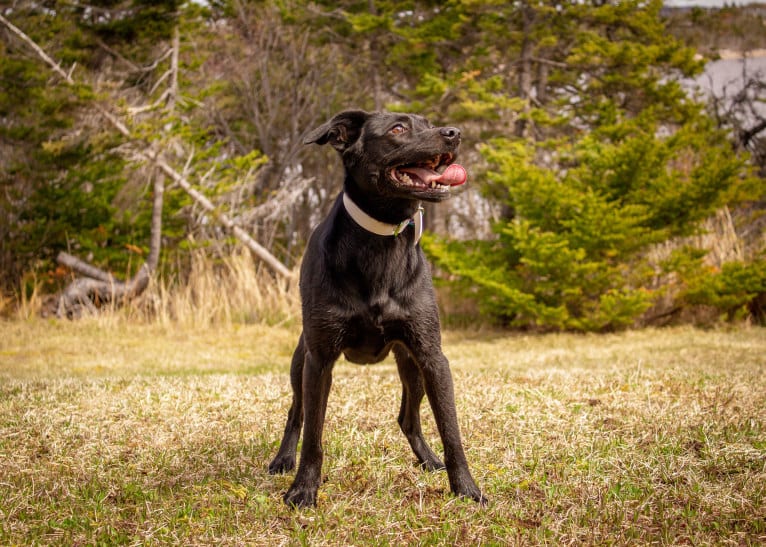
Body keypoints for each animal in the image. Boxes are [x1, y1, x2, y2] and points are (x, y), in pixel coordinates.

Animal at [270, 111, 486, 510]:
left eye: (428, 122)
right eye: (398, 129)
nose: (454, 133)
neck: (380, 241)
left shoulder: (432, 357)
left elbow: (451, 431)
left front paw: (466, 488)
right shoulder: (319, 361)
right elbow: (313, 436)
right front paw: (303, 489)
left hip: (412, 368)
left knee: (408, 418)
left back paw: (428, 459)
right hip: (300, 362)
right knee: (296, 414)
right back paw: (282, 459)